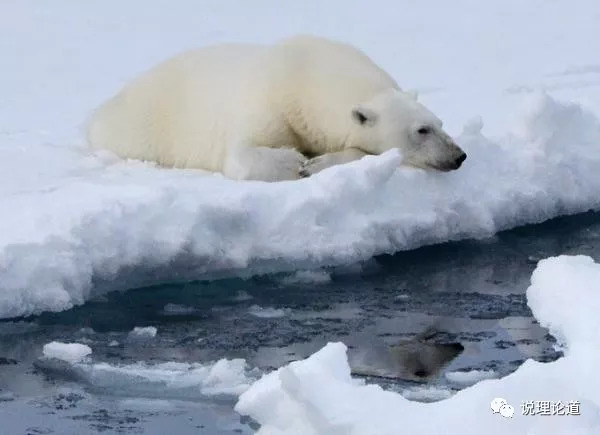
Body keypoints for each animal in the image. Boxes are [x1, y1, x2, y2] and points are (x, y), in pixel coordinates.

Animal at [86, 35, 466, 182]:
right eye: (422, 130)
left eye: (440, 122)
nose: (459, 155)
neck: (306, 74)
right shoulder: (268, 101)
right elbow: (241, 155)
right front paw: (296, 162)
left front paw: (319, 162)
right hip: (142, 128)